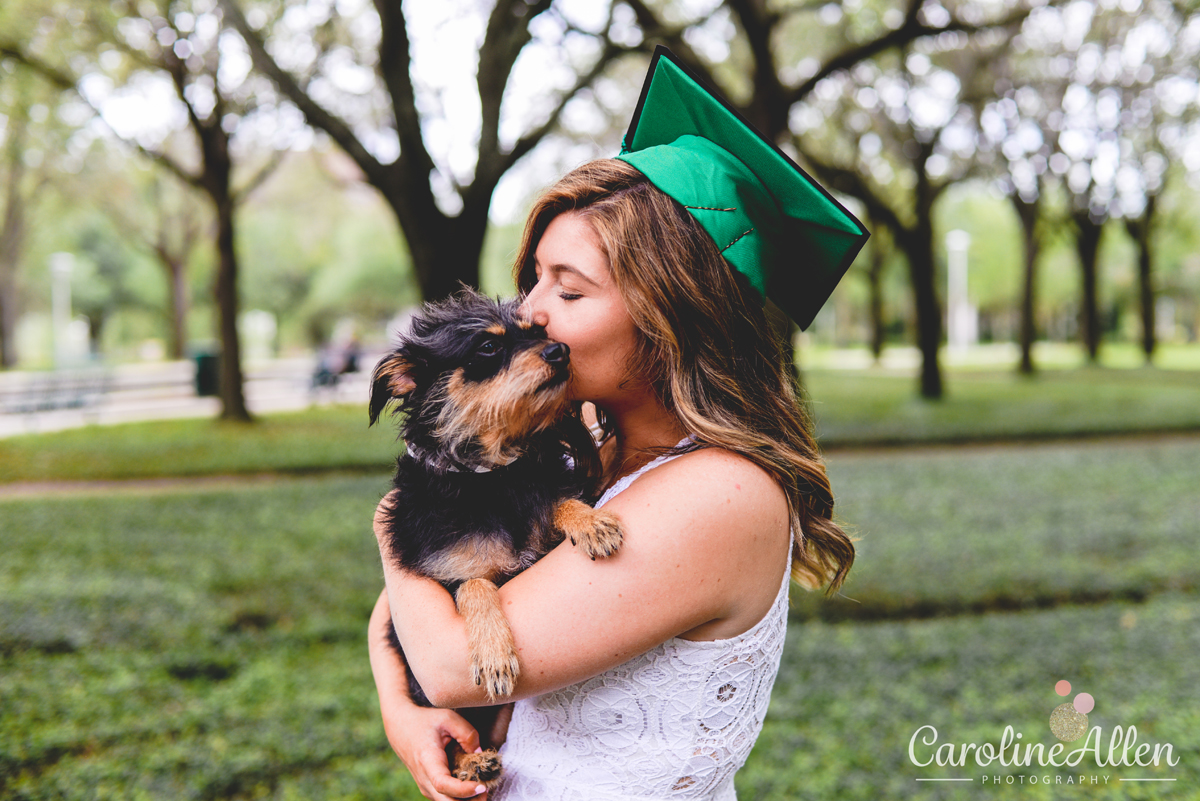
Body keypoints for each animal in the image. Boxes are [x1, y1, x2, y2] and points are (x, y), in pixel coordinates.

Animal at [369, 287, 624, 786]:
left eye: (538, 331)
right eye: (487, 347)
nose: (559, 351)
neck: (492, 475)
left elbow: (553, 501)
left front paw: (590, 522)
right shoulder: (443, 573)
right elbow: (475, 584)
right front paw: (493, 653)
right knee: (456, 737)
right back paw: (473, 763)